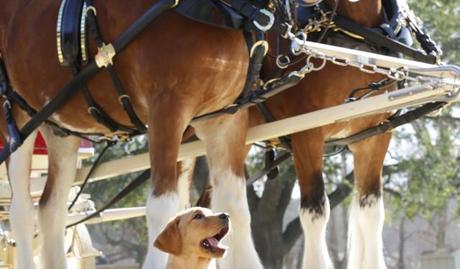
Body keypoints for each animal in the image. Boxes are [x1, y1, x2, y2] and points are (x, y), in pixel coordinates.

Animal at [0, 1, 270, 266]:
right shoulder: (167, 107)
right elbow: (163, 207)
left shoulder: (226, 119)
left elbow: (235, 207)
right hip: (17, 121)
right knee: (22, 212)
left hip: (61, 129)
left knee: (51, 210)